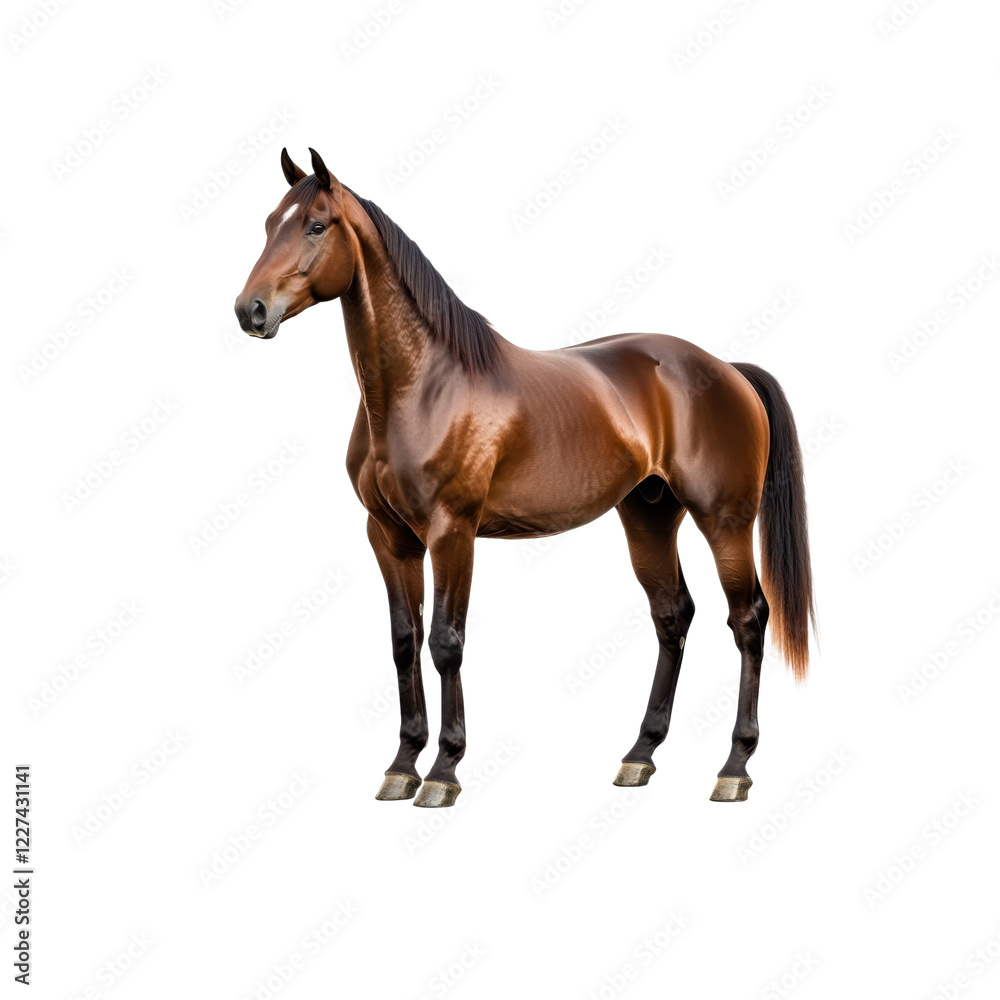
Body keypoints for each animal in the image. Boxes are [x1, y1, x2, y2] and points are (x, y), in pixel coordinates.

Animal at [234, 148, 816, 808]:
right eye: (268, 224)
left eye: (315, 225)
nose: (250, 310)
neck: (423, 387)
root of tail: (728, 368)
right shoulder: (388, 537)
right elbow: (404, 642)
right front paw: (403, 764)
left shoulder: (452, 533)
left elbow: (446, 643)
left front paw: (444, 771)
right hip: (648, 515)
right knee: (673, 616)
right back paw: (640, 754)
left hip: (724, 520)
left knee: (748, 620)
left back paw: (734, 766)